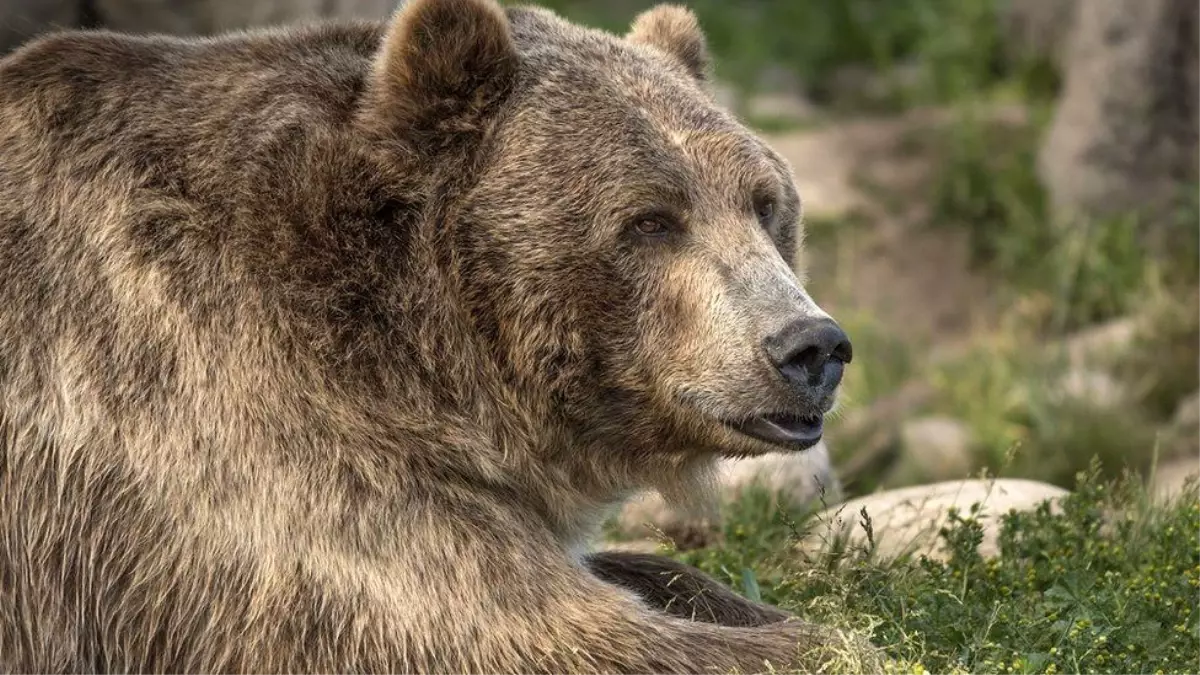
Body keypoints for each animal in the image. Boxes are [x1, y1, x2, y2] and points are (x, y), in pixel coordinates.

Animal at [0, 2, 873, 667]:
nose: (809, 346)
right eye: (649, 220)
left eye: (763, 202)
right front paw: (826, 638)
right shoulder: (224, 431)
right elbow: (523, 626)